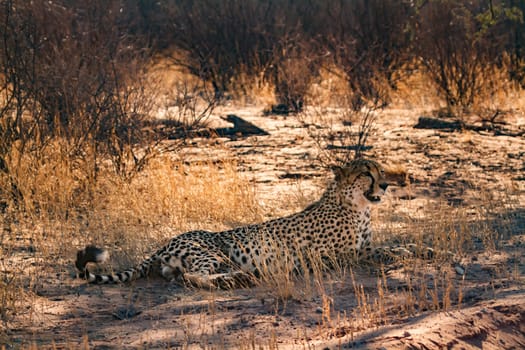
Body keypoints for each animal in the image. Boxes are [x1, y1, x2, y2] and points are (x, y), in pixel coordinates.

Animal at [75, 158, 398, 288]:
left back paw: (238, 278)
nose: (385, 186)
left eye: (380, 170)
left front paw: (406, 251)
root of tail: (165, 243)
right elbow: (380, 252)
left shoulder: (363, 248)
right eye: (366, 173)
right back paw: (237, 280)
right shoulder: (338, 255)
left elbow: (389, 248)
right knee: (193, 277)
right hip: (214, 252)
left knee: (181, 276)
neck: (358, 207)